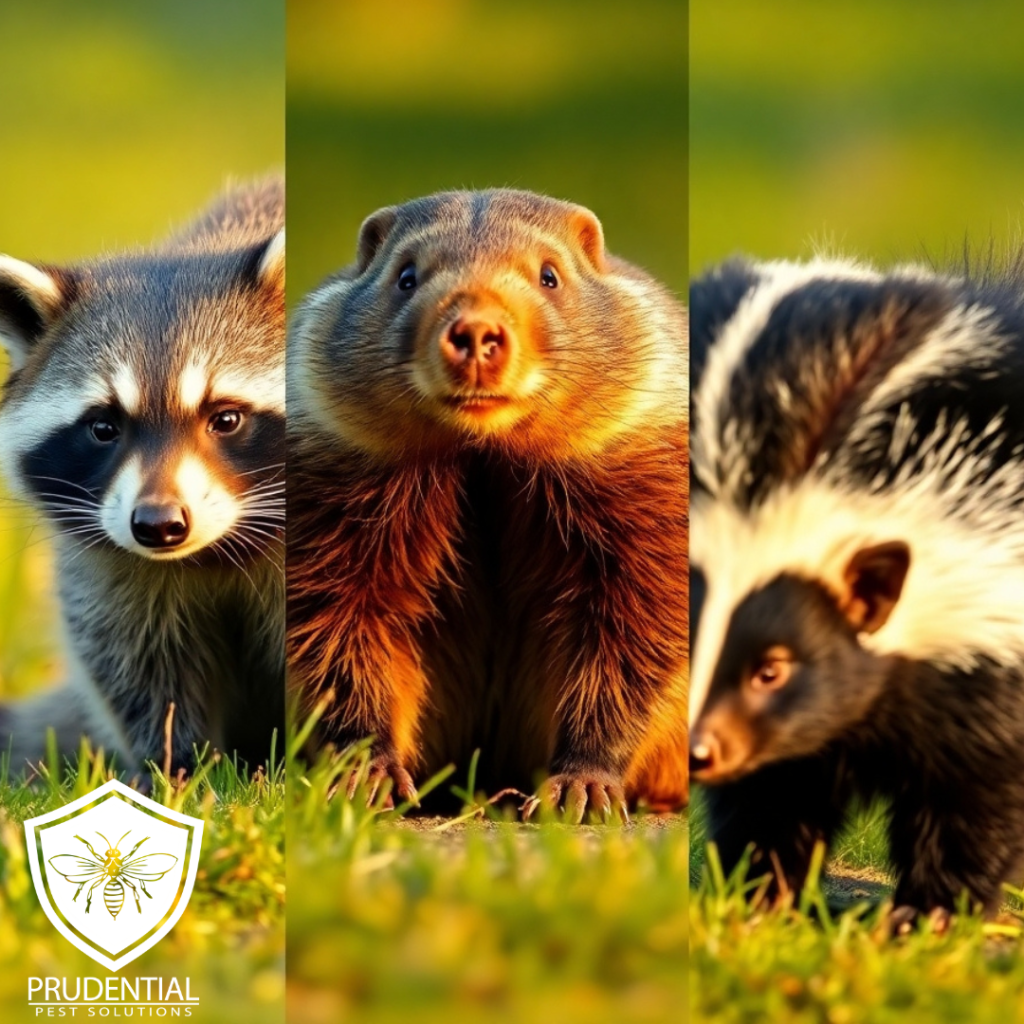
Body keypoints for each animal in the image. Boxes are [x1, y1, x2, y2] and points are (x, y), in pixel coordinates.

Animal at [0, 177, 285, 775]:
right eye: (104, 427)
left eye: (225, 419)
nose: (158, 524)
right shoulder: (108, 566)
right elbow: (137, 661)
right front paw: (177, 764)